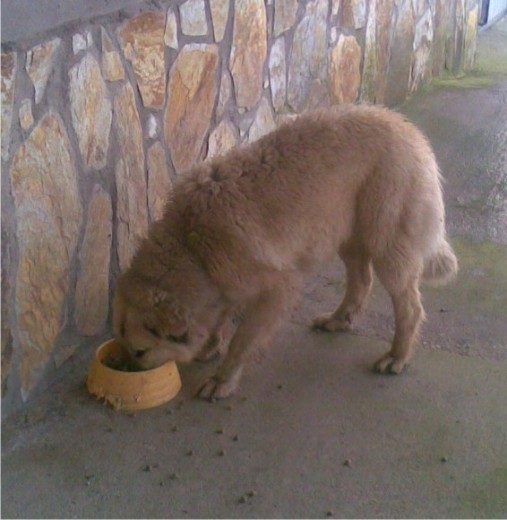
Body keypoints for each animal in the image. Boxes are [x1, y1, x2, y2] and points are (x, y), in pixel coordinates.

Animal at [114, 103, 460, 400]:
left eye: (140, 351)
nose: (127, 370)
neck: (192, 246)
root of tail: (408, 129)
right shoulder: (226, 279)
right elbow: (221, 316)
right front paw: (210, 346)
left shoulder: (276, 288)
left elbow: (243, 340)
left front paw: (222, 378)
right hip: (345, 235)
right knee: (361, 280)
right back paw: (339, 319)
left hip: (386, 244)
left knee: (409, 307)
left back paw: (397, 356)